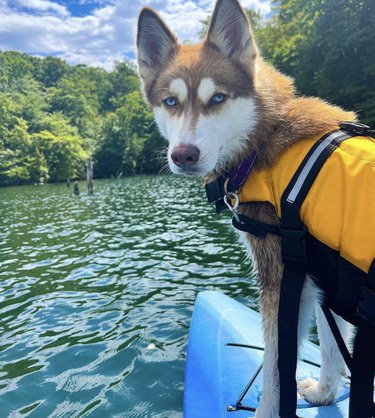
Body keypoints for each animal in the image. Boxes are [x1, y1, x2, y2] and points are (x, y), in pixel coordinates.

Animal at [135, 1, 358, 416]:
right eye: (171, 102)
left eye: (217, 98)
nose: (183, 155)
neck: (264, 139)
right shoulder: (326, 276)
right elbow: (332, 344)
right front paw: (325, 393)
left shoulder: (282, 279)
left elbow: (276, 369)